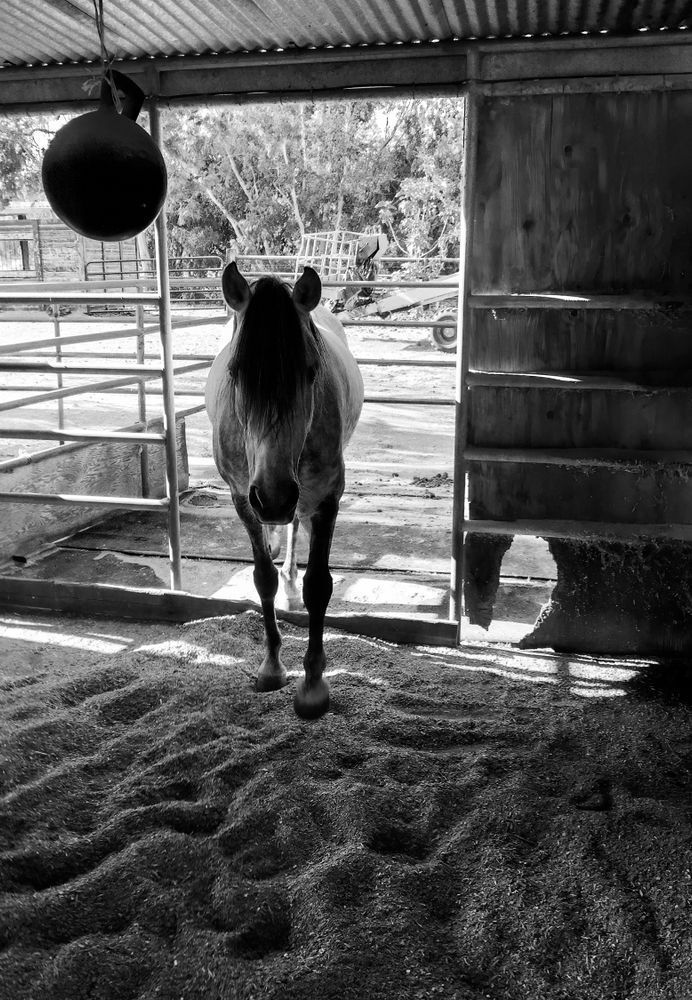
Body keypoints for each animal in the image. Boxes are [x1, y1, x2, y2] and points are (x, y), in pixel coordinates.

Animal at [205, 262, 364, 719]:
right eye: (235, 372)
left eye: (310, 371)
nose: (273, 497)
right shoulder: (243, 500)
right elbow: (262, 579)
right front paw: (272, 666)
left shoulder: (327, 500)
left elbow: (319, 587)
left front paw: (312, 686)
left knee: (296, 528)